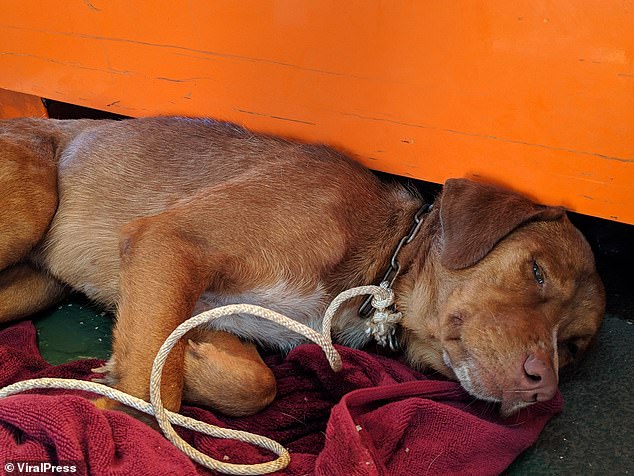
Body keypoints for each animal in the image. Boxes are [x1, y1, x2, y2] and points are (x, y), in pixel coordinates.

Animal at [0, 117, 604, 418]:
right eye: (537, 272)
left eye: (572, 348)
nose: (543, 389)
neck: (379, 263)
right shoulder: (168, 242)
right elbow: (154, 384)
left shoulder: (206, 307)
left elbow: (253, 382)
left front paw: (188, 365)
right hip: (33, 205)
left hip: (36, 285)